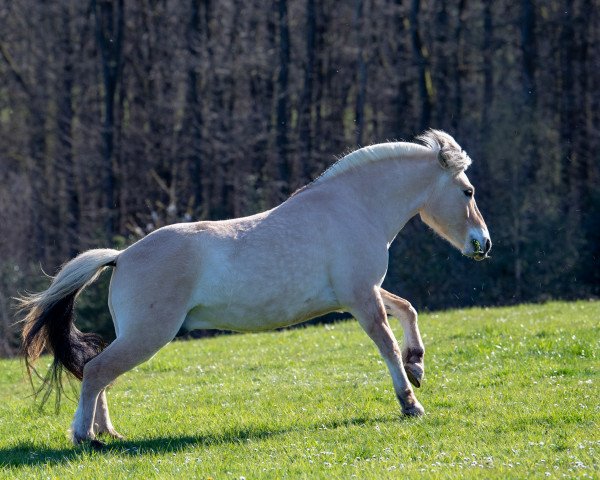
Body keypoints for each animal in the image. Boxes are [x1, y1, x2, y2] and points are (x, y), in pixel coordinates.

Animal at [19, 128, 492, 446]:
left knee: (98, 373)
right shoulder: (360, 298)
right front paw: (410, 403)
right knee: (97, 371)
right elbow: (388, 346)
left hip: (137, 336)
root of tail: (122, 255)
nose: (483, 244)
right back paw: (86, 437)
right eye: (468, 191)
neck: (353, 206)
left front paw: (418, 366)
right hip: (148, 336)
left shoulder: (362, 294)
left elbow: (408, 308)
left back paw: (108, 433)